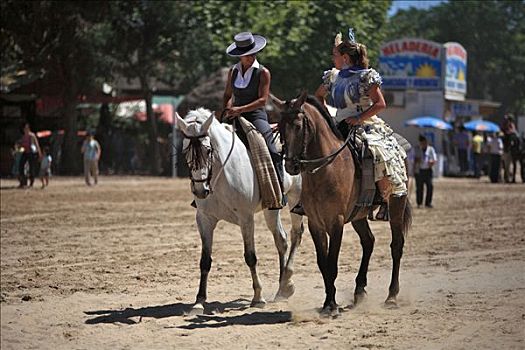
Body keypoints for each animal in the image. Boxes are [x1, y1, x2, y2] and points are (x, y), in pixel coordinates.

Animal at [176, 108, 302, 314]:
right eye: (185, 150)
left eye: (208, 150)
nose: (201, 191)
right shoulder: (204, 219)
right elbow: (205, 260)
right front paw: (199, 301)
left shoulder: (246, 218)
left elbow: (250, 257)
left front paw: (258, 297)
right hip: (272, 207)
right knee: (281, 240)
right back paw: (283, 288)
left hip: (295, 199)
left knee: (295, 235)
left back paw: (287, 282)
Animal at [272, 91, 412, 314]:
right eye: (280, 126)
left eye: (298, 126)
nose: (291, 166)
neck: (325, 169)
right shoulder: (315, 224)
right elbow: (323, 263)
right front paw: (328, 302)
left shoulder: (335, 222)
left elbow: (332, 263)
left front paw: (331, 304)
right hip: (358, 216)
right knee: (368, 241)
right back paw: (359, 291)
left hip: (397, 204)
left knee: (396, 245)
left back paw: (391, 296)